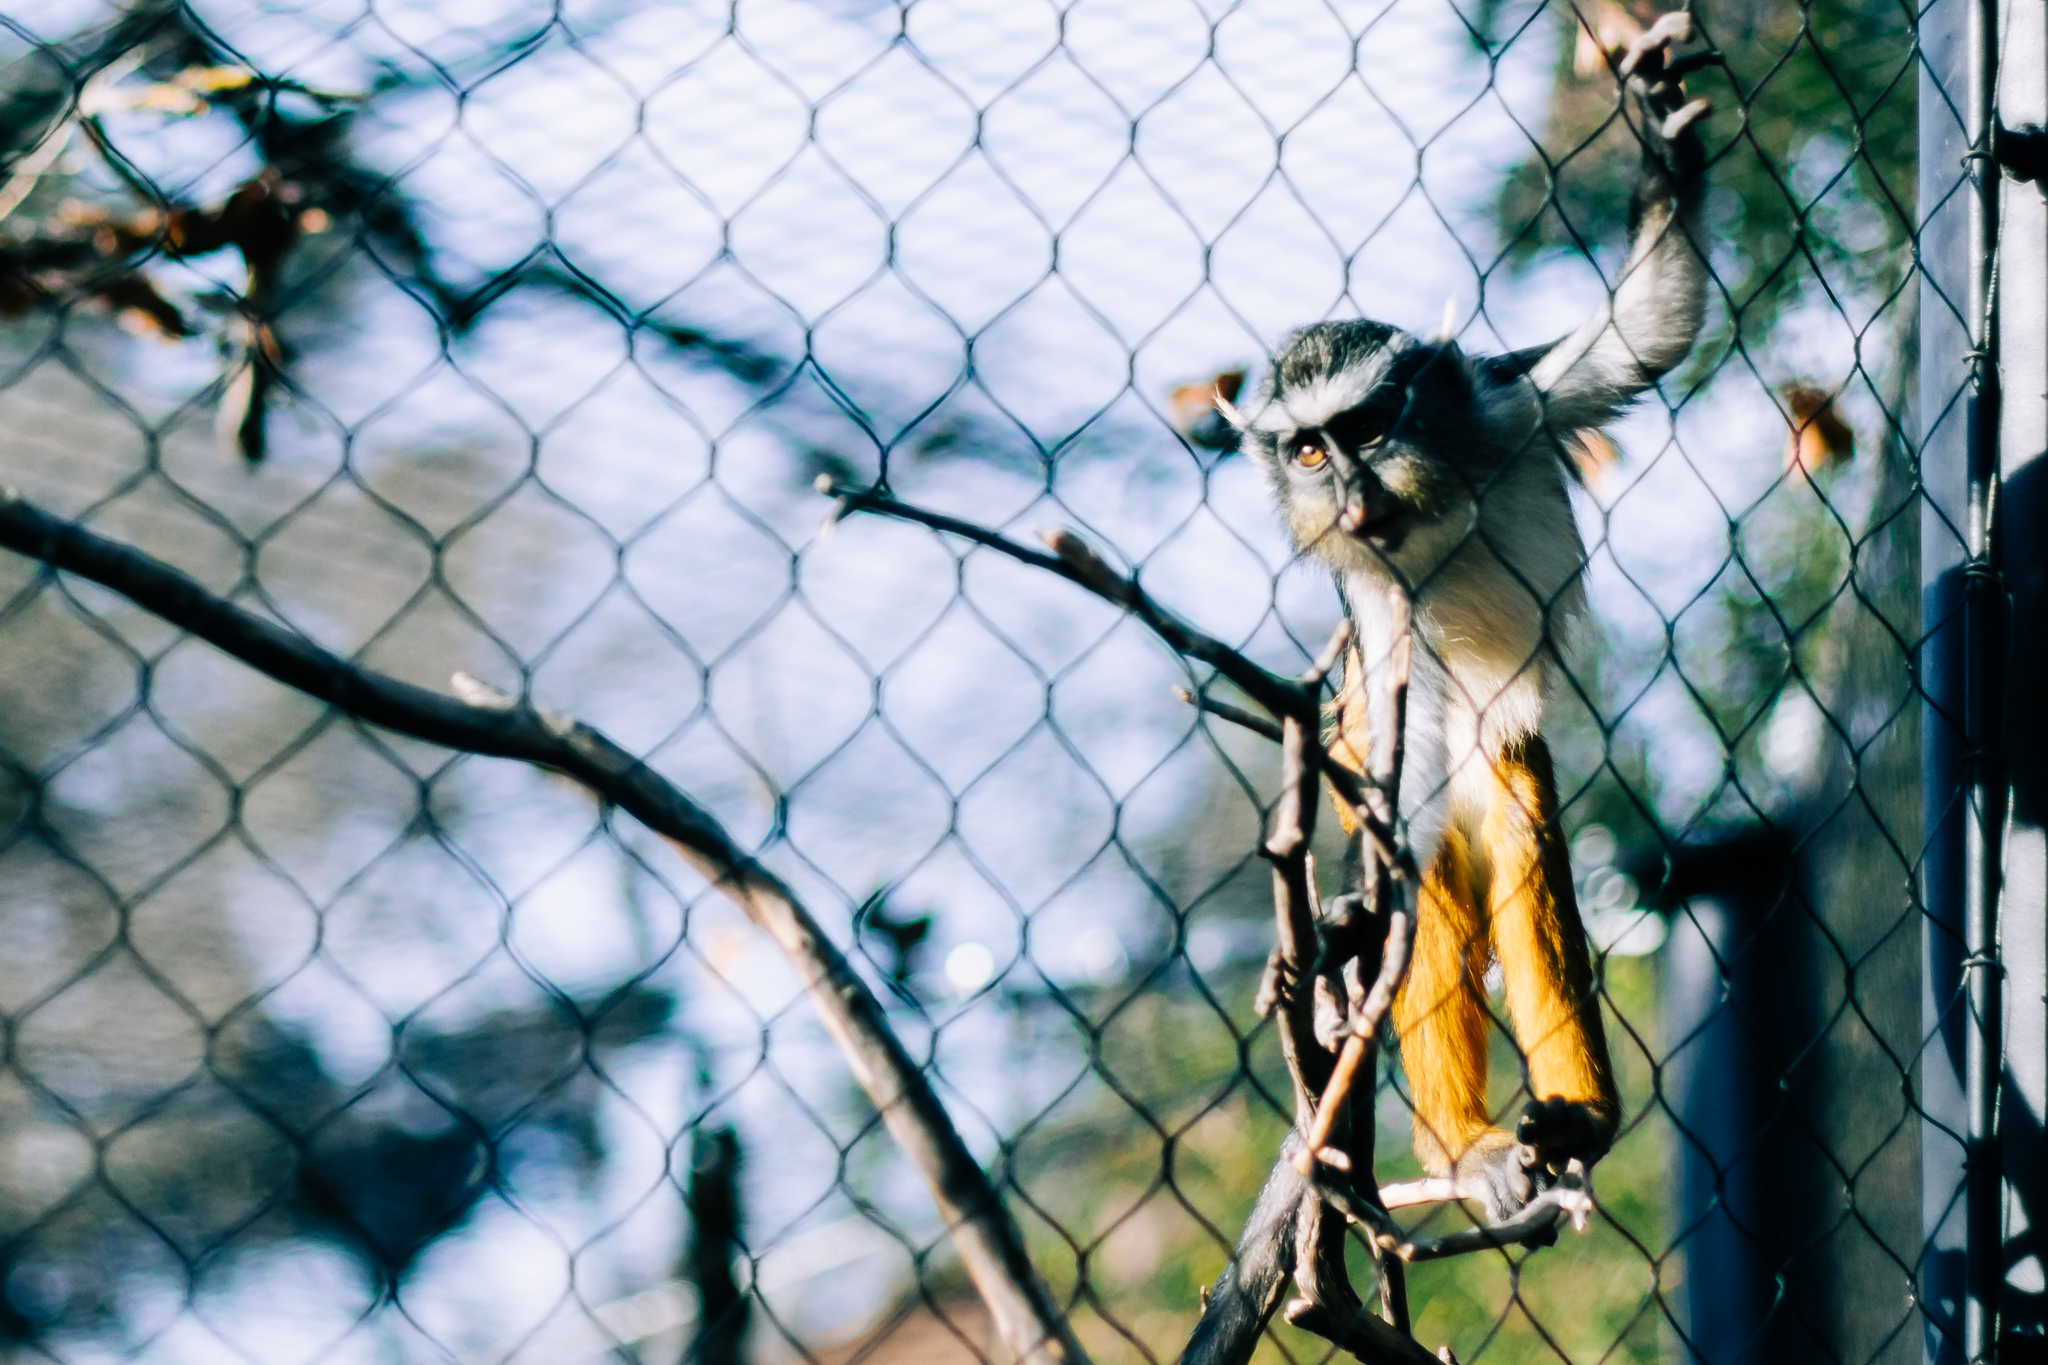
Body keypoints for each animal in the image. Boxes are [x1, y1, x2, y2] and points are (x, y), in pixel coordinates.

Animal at [1220, 15, 1720, 1219]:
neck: (1431, 512)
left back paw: (1575, 1118)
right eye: (1308, 452)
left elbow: (1646, 334)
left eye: (1366, 425)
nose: (1352, 491)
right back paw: (1461, 1147)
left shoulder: (1509, 402)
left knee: (1521, 826)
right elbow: (1409, 850)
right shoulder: (1379, 611)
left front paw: (1661, 141)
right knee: (1430, 870)